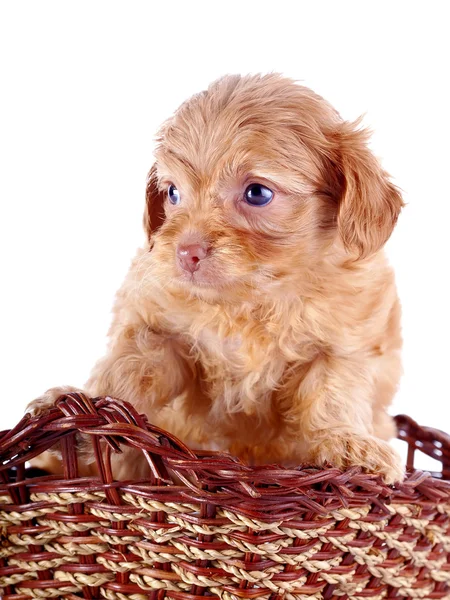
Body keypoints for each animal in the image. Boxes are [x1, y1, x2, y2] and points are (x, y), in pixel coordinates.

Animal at [30, 74, 404, 482]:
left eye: (257, 193)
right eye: (173, 192)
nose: (185, 253)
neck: (248, 303)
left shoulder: (347, 346)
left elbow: (334, 393)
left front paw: (347, 442)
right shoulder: (158, 329)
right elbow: (128, 369)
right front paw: (85, 414)